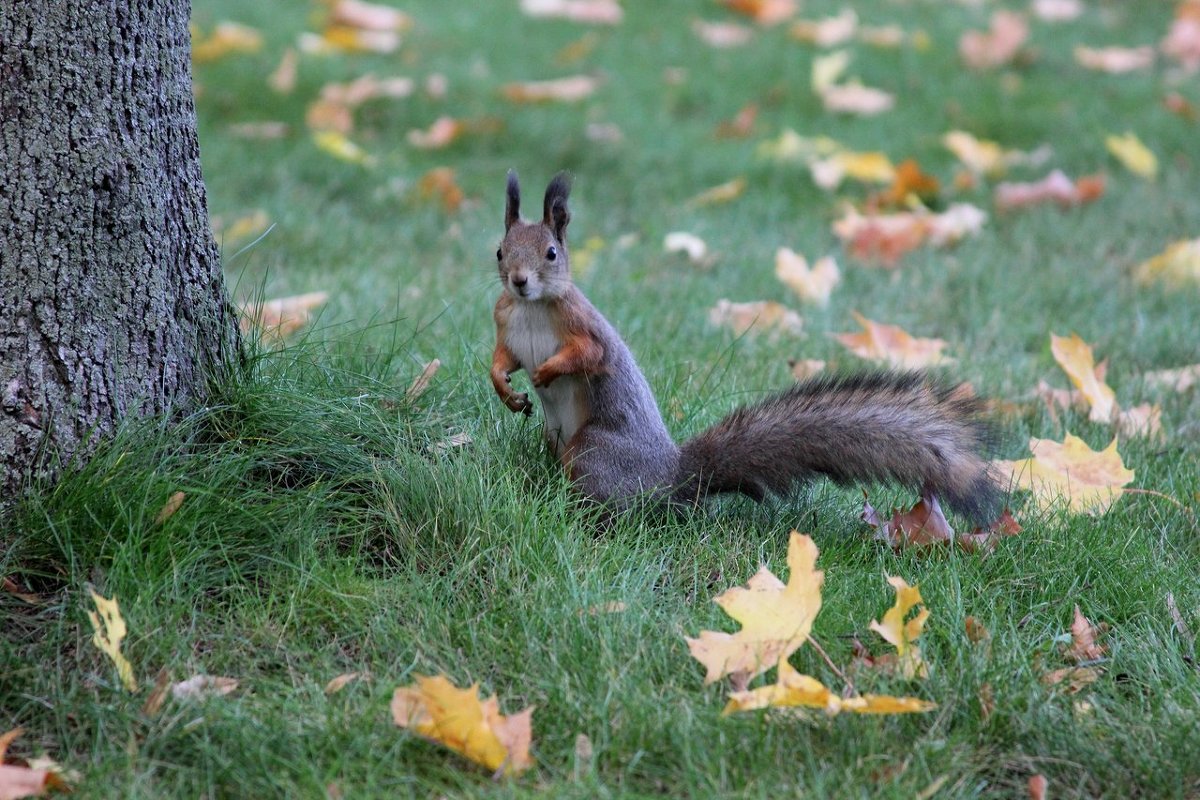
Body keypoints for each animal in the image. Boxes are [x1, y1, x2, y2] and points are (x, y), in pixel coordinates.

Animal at [487, 171, 1003, 522]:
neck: (532, 308)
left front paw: (547, 372)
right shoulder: (505, 321)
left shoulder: (583, 326)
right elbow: (502, 359)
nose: (519, 280)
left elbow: (590, 356)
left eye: (552, 254)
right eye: (499, 251)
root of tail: (671, 475)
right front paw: (507, 389)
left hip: (593, 451)